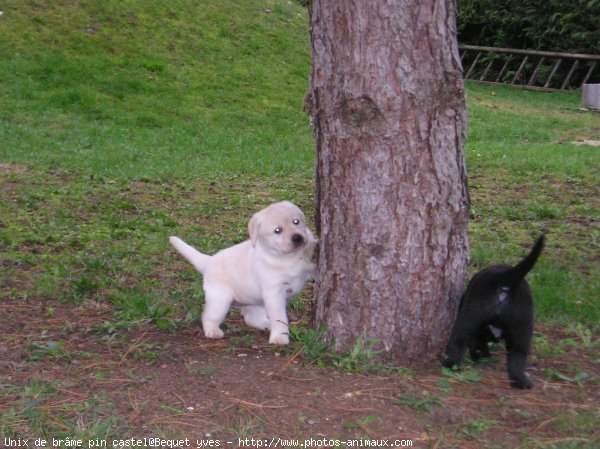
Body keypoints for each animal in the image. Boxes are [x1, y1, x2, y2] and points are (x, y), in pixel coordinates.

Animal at [168, 201, 316, 344]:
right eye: (278, 230)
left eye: (296, 221)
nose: (297, 238)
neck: (287, 257)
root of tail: (209, 261)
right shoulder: (274, 292)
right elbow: (279, 318)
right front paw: (280, 337)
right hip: (220, 300)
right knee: (208, 316)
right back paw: (213, 330)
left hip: (254, 301)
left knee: (250, 319)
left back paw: (265, 324)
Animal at [442, 234, 548, 388]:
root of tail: (506, 278)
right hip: (523, 324)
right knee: (518, 355)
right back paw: (522, 382)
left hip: (470, 315)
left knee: (458, 339)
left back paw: (450, 365)